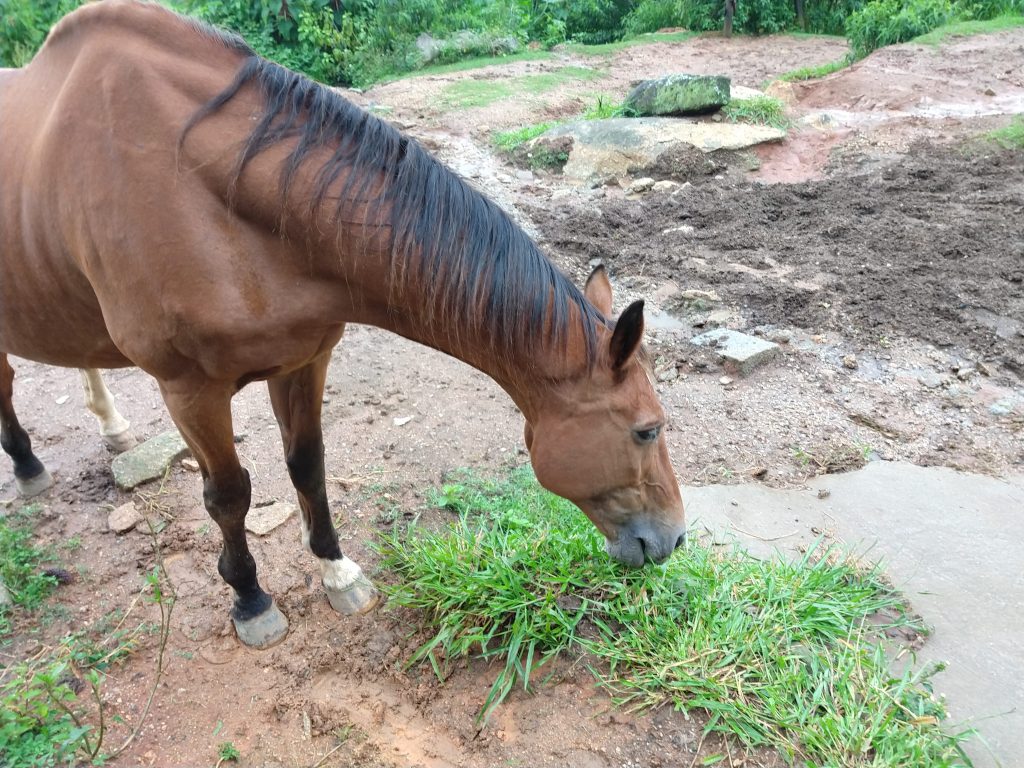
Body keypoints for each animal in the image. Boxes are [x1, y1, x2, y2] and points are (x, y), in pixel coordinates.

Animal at [0, 0, 685, 648]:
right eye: (647, 431)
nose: (676, 539)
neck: (205, 189)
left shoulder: (304, 359)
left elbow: (307, 464)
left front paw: (337, 573)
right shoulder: (189, 390)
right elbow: (229, 495)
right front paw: (250, 601)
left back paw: (104, 433)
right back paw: (29, 467)